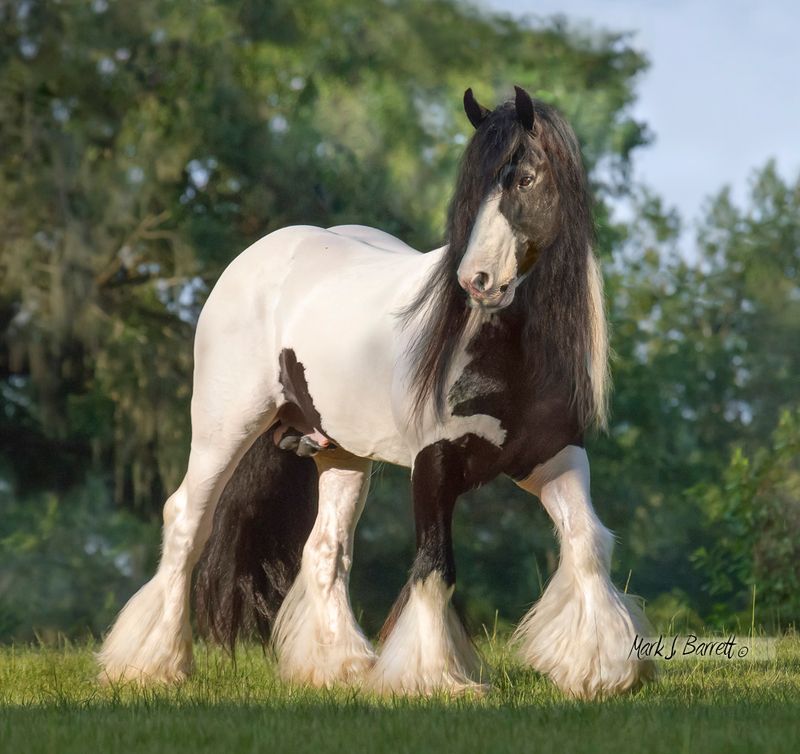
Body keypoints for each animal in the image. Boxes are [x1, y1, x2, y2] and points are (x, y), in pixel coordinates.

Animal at [95, 85, 656, 696]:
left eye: (527, 178)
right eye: (473, 189)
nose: (477, 281)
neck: (500, 349)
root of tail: (258, 256)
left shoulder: (554, 456)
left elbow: (589, 544)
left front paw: (603, 669)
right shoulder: (434, 465)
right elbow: (435, 567)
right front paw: (434, 678)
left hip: (341, 453)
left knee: (325, 549)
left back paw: (337, 667)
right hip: (225, 428)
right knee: (186, 524)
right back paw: (152, 665)